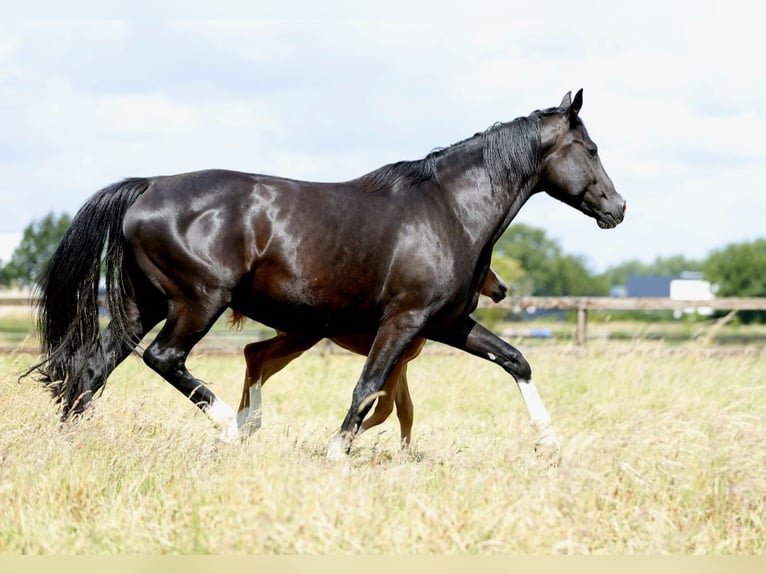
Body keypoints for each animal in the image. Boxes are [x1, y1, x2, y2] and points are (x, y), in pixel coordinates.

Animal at [31, 90, 632, 460]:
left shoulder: (445, 323)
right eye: (591, 149)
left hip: (144, 304)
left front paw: (549, 443)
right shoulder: (404, 321)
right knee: (162, 358)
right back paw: (232, 429)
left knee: (92, 369)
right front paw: (337, 451)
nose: (618, 208)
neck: (449, 210)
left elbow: (515, 360)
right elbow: (368, 387)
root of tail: (149, 186)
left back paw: (70, 446)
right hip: (198, 302)